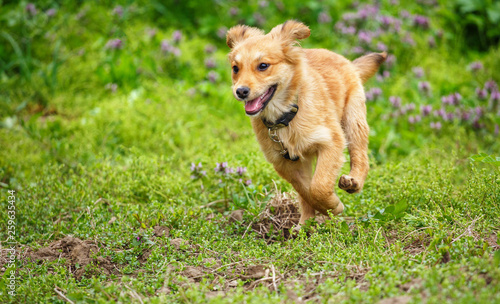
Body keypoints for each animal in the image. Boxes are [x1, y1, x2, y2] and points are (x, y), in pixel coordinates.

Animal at [227, 20, 386, 224]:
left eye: (263, 65)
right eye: (235, 68)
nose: (240, 91)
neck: (285, 117)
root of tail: (348, 63)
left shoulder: (331, 142)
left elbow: (318, 187)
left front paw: (333, 206)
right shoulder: (285, 163)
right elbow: (306, 191)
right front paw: (324, 210)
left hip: (353, 119)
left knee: (361, 157)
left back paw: (354, 182)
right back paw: (304, 223)